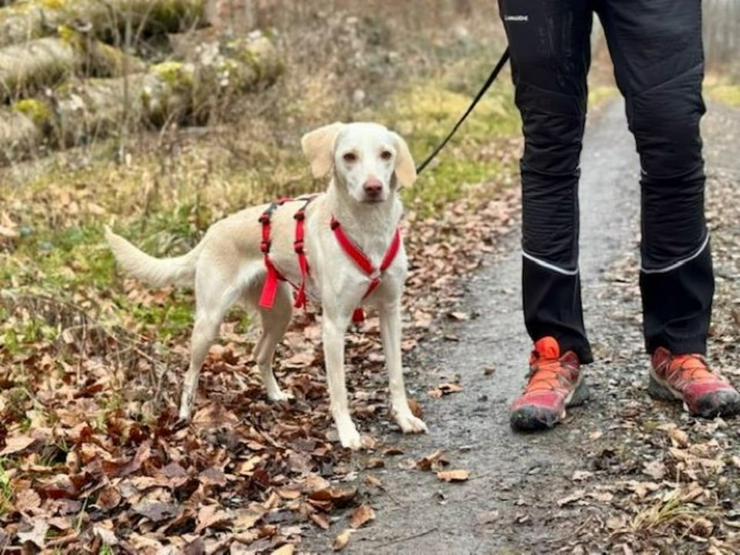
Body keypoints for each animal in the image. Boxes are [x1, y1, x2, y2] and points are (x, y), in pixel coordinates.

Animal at [105, 121, 428, 448]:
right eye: (349, 156)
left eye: (386, 154)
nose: (374, 187)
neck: (367, 229)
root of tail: (211, 232)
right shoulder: (334, 324)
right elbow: (339, 389)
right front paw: (347, 433)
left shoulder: (390, 312)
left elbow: (396, 376)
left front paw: (404, 418)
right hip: (209, 322)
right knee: (190, 371)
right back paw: (185, 415)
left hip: (280, 313)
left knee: (260, 353)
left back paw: (274, 395)